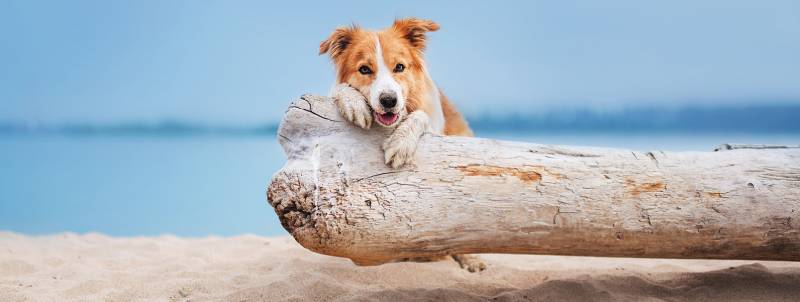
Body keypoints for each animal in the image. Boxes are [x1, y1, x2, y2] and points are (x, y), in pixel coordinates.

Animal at [320, 17, 484, 272]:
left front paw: (400, 144)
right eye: (364, 69)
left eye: (399, 67)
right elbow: (340, 89)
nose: (389, 100)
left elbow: (420, 117)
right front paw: (354, 104)